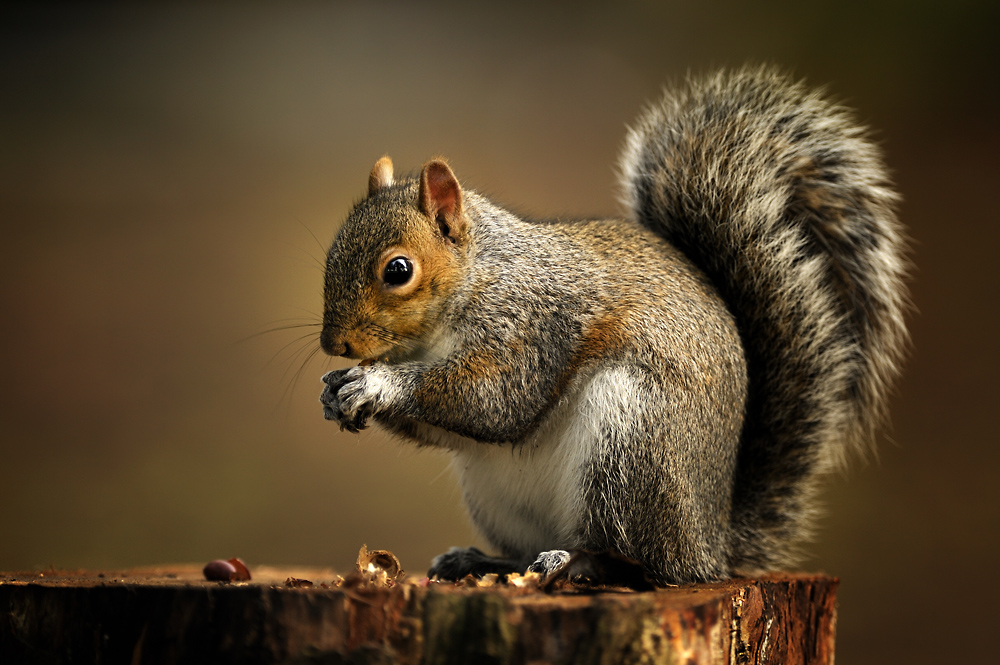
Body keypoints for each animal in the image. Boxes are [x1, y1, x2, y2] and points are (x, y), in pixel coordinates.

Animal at [316, 67, 912, 584]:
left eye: (399, 270)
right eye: (331, 252)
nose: (333, 344)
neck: (476, 278)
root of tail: (710, 545)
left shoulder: (533, 325)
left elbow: (493, 401)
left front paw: (378, 384)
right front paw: (335, 390)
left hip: (629, 448)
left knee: (634, 561)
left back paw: (574, 562)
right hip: (501, 494)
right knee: (529, 552)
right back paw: (482, 561)